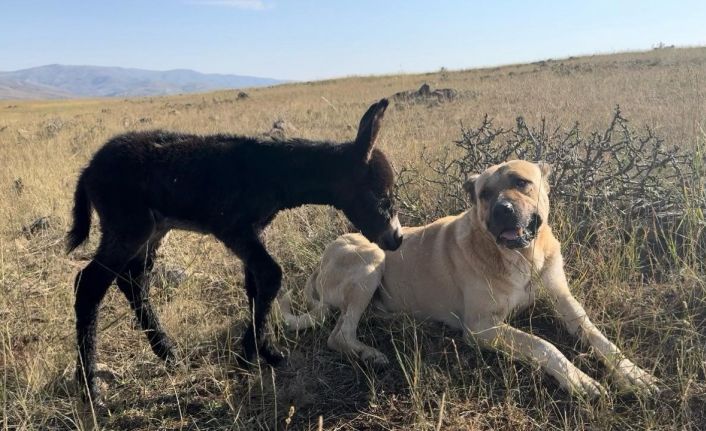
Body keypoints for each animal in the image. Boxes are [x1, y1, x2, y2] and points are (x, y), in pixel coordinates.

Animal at [66, 98, 402, 408]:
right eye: (381, 195)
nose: (396, 239)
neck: (275, 172)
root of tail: (88, 169)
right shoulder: (234, 229)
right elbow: (270, 276)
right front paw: (247, 358)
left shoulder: (253, 232)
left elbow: (255, 285)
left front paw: (267, 352)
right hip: (128, 227)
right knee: (89, 285)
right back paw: (90, 390)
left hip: (151, 231)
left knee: (133, 281)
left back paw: (168, 353)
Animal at [278, 159, 656, 398]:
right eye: (484, 194)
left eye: (522, 183)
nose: (503, 209)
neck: (521, 258)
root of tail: (319, 265)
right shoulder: (481, 328)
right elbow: (543, 345)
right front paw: (579, 380)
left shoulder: (566, 304)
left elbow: (599, 338)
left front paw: (633, 373)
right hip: (372, 258)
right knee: (339, 334)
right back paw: (370, 354)